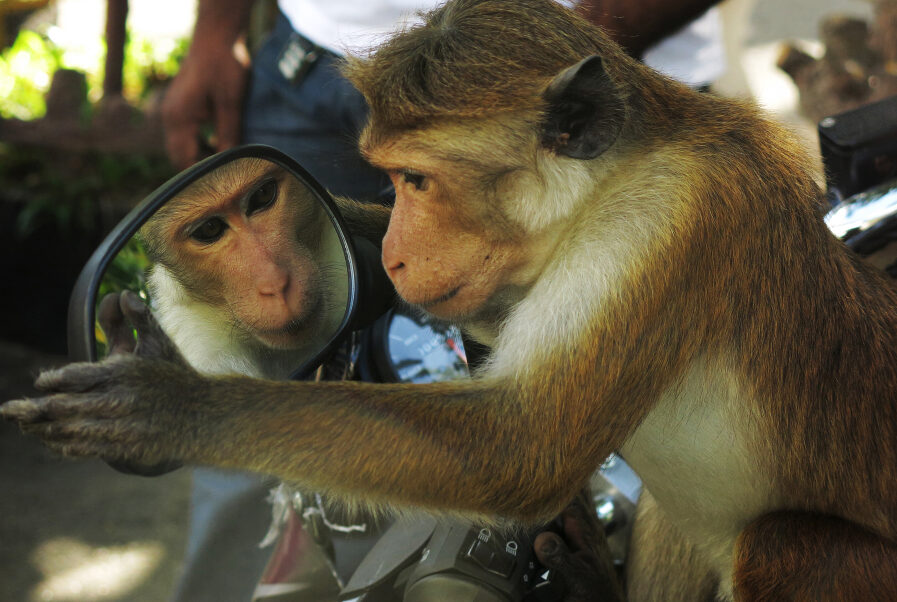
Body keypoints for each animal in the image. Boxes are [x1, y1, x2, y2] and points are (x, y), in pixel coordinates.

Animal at [1, 0, 896, 596]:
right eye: (391, 181)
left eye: (418, 180)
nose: (398, 253)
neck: (601, 192)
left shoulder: (658, 227)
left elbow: (516, 448)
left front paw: (171, 406)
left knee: (788, 544)